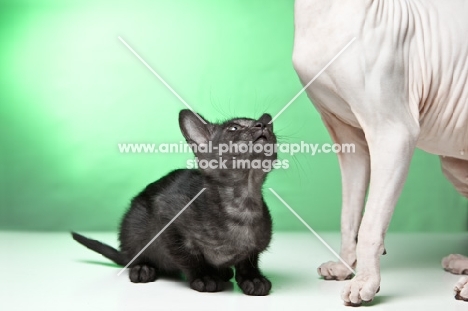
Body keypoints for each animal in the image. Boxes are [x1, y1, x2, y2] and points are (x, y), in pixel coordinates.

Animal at [72, 109, 276, 298]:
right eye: (234, 128)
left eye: (267, 125)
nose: (262, 125)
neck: (243, 202)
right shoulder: (166, 215)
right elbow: (188, 256)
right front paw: (204, 276)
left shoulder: (254, 247)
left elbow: (248, 259)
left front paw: (253, 278)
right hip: (134, 223)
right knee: (135, 255)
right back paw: (143, 268)